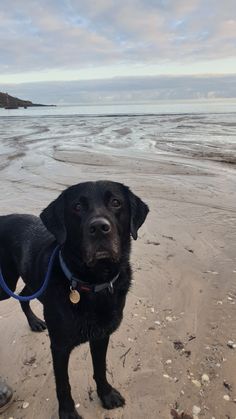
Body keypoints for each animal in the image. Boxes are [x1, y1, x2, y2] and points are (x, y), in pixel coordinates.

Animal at [0, 181, 148, 419]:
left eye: (116, 202)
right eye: (77, 207)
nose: (99, 228)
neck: (93, 283)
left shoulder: (101, 335)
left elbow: (100, 368)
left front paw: (106, 395)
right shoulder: (59, 346)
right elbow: (63, 384)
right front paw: (68, 412)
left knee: (23, 297)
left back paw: (34, 322)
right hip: (6, 282)